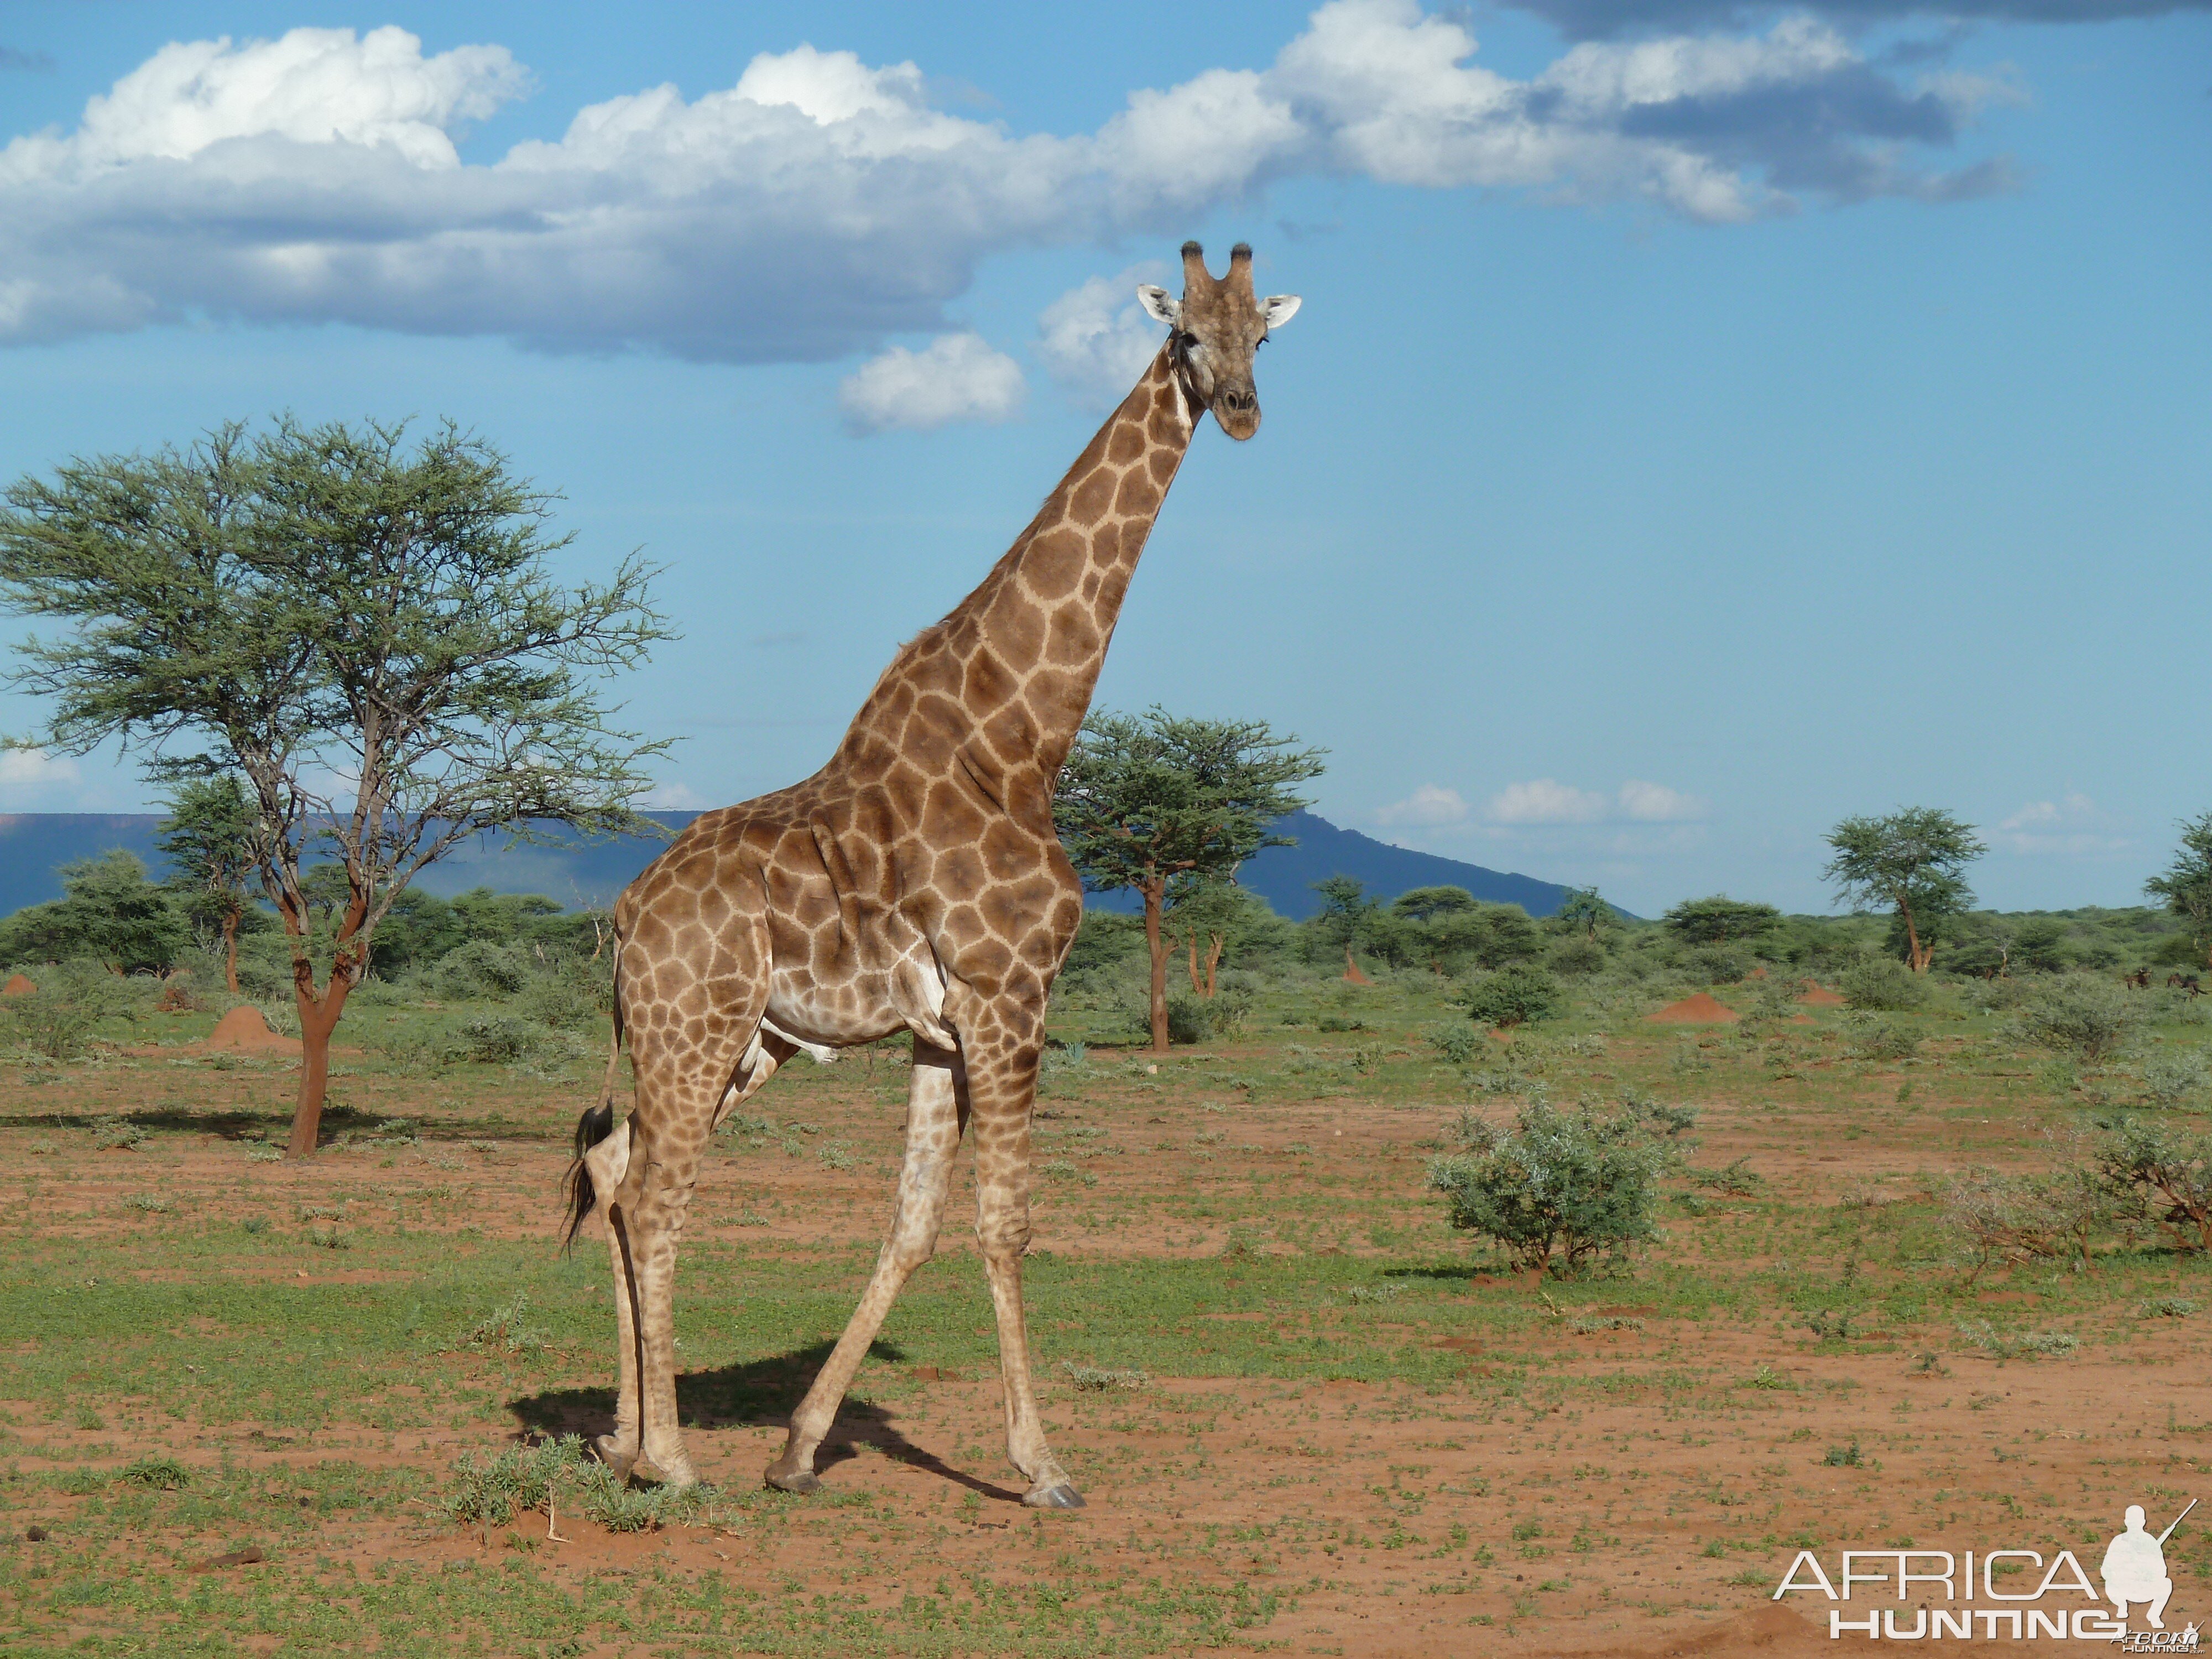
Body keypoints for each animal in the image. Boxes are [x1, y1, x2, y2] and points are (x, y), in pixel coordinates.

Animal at [562, 243, 1301, 1504]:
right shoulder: (1012, 998)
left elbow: (911, 1223)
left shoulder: (940, 1029)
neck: (1019, 739)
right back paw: (670, 1458)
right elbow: (1005, 1224)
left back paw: (622, 1438)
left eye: (1265, 334)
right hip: (697, 1027)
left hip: (734, 1041)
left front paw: (800, 1449)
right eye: (1188, 337)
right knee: (655, 1194)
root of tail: (622, 917)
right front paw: (1042, 1467)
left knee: (614, 1171)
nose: (1245, 412)